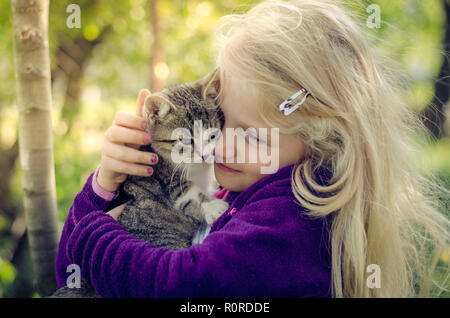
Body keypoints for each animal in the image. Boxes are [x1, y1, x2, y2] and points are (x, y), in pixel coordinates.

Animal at [49, 69, 229, 298]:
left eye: (212, 135)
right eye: (186, 141)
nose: (205, 156)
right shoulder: (164, 178)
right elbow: (188, 195)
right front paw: (214, 206)